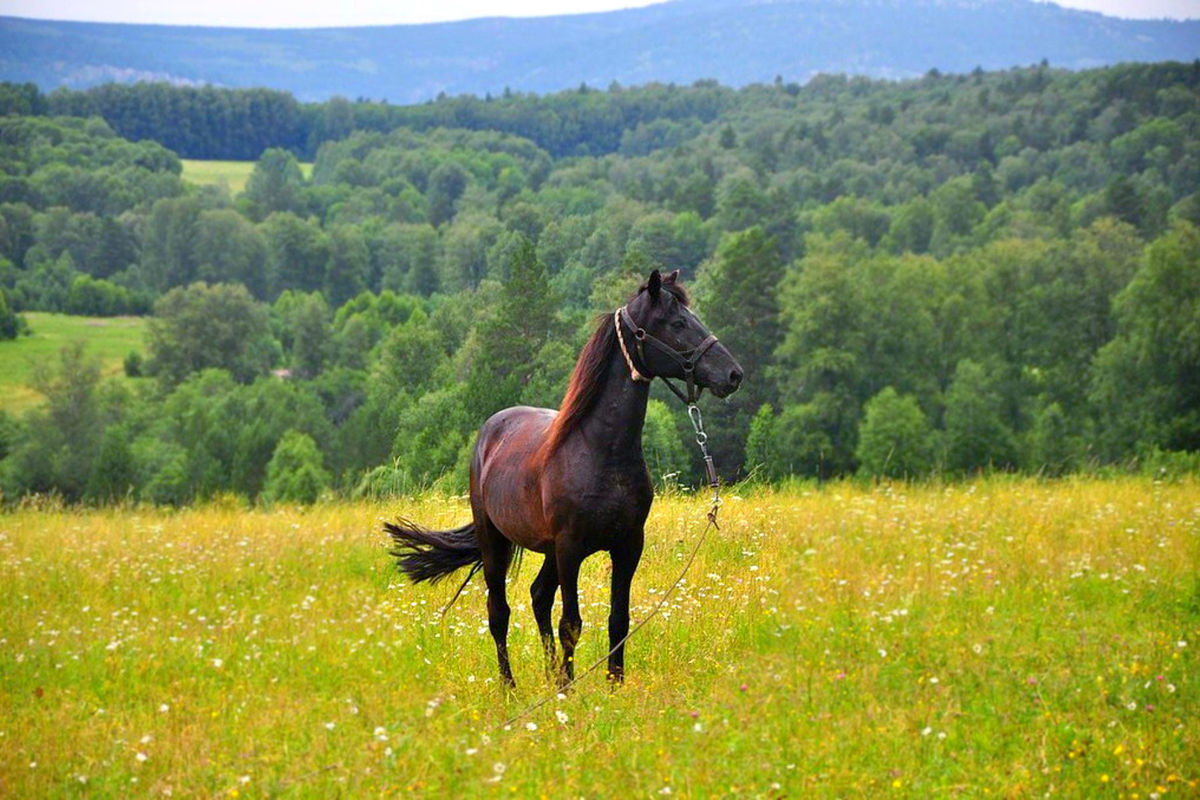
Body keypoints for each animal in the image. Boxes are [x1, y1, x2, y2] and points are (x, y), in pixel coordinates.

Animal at [386, 271, 739, 690]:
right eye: (678, 323)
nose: (733, 374)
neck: (601, 451)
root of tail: (491, 430)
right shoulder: (571, 548)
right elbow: (571, 622)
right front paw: (570, 693)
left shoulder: (627, 546)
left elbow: (618, 620)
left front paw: (612, 687)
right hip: (497, 543)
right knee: (499, 612)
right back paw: (511, 688)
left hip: (549, 551)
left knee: (538, 595)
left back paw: (552, 676)